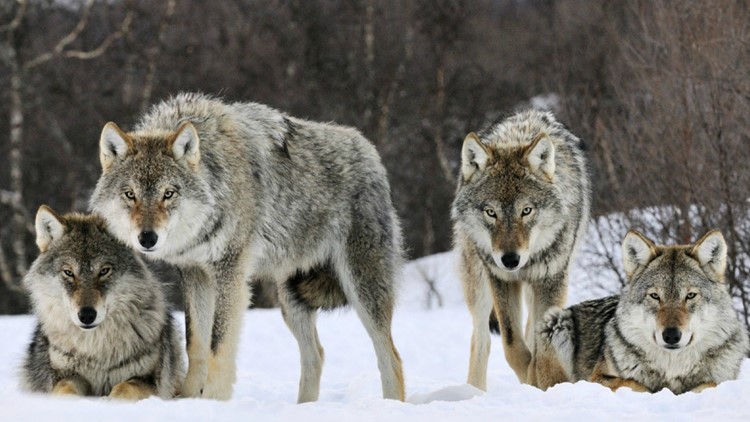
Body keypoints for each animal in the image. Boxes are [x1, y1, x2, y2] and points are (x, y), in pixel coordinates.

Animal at [20, 206, 185, 400]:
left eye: (104, 271)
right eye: (69, 272)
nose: (86, 315)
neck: (96, 350)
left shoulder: (148, 381)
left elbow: (124, 388)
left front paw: (109, 401)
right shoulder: (65, 375)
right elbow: (65, 390)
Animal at [89, 92, 406, 402]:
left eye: (168, 194)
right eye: (130, 194)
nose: (147, 238)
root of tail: (369, 151)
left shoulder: (230, 273)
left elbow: (218, 345)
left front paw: (213, 401)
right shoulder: (194, 274)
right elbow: (196, 344)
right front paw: (189, 399)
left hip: (362, 289)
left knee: (391, 356)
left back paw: (391, 404)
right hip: (291, 299)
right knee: (316, 355)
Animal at [452, 109, 592, 390]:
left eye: (526, 211)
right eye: (491, 212)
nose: (510, 260)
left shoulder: (552, 279)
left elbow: (540, 345)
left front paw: (541, 381)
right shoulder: (501, 279)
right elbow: (513, 345)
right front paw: (529, 378)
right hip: (478, 284)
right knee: (481, 340)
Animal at [544, 229, 748, 394]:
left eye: (690, 295)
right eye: (655, 296)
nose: (671, 335)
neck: (672, 368)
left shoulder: (722, 379)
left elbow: (710, 384)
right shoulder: (597, 378)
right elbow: (634, 383)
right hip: (556, 322)